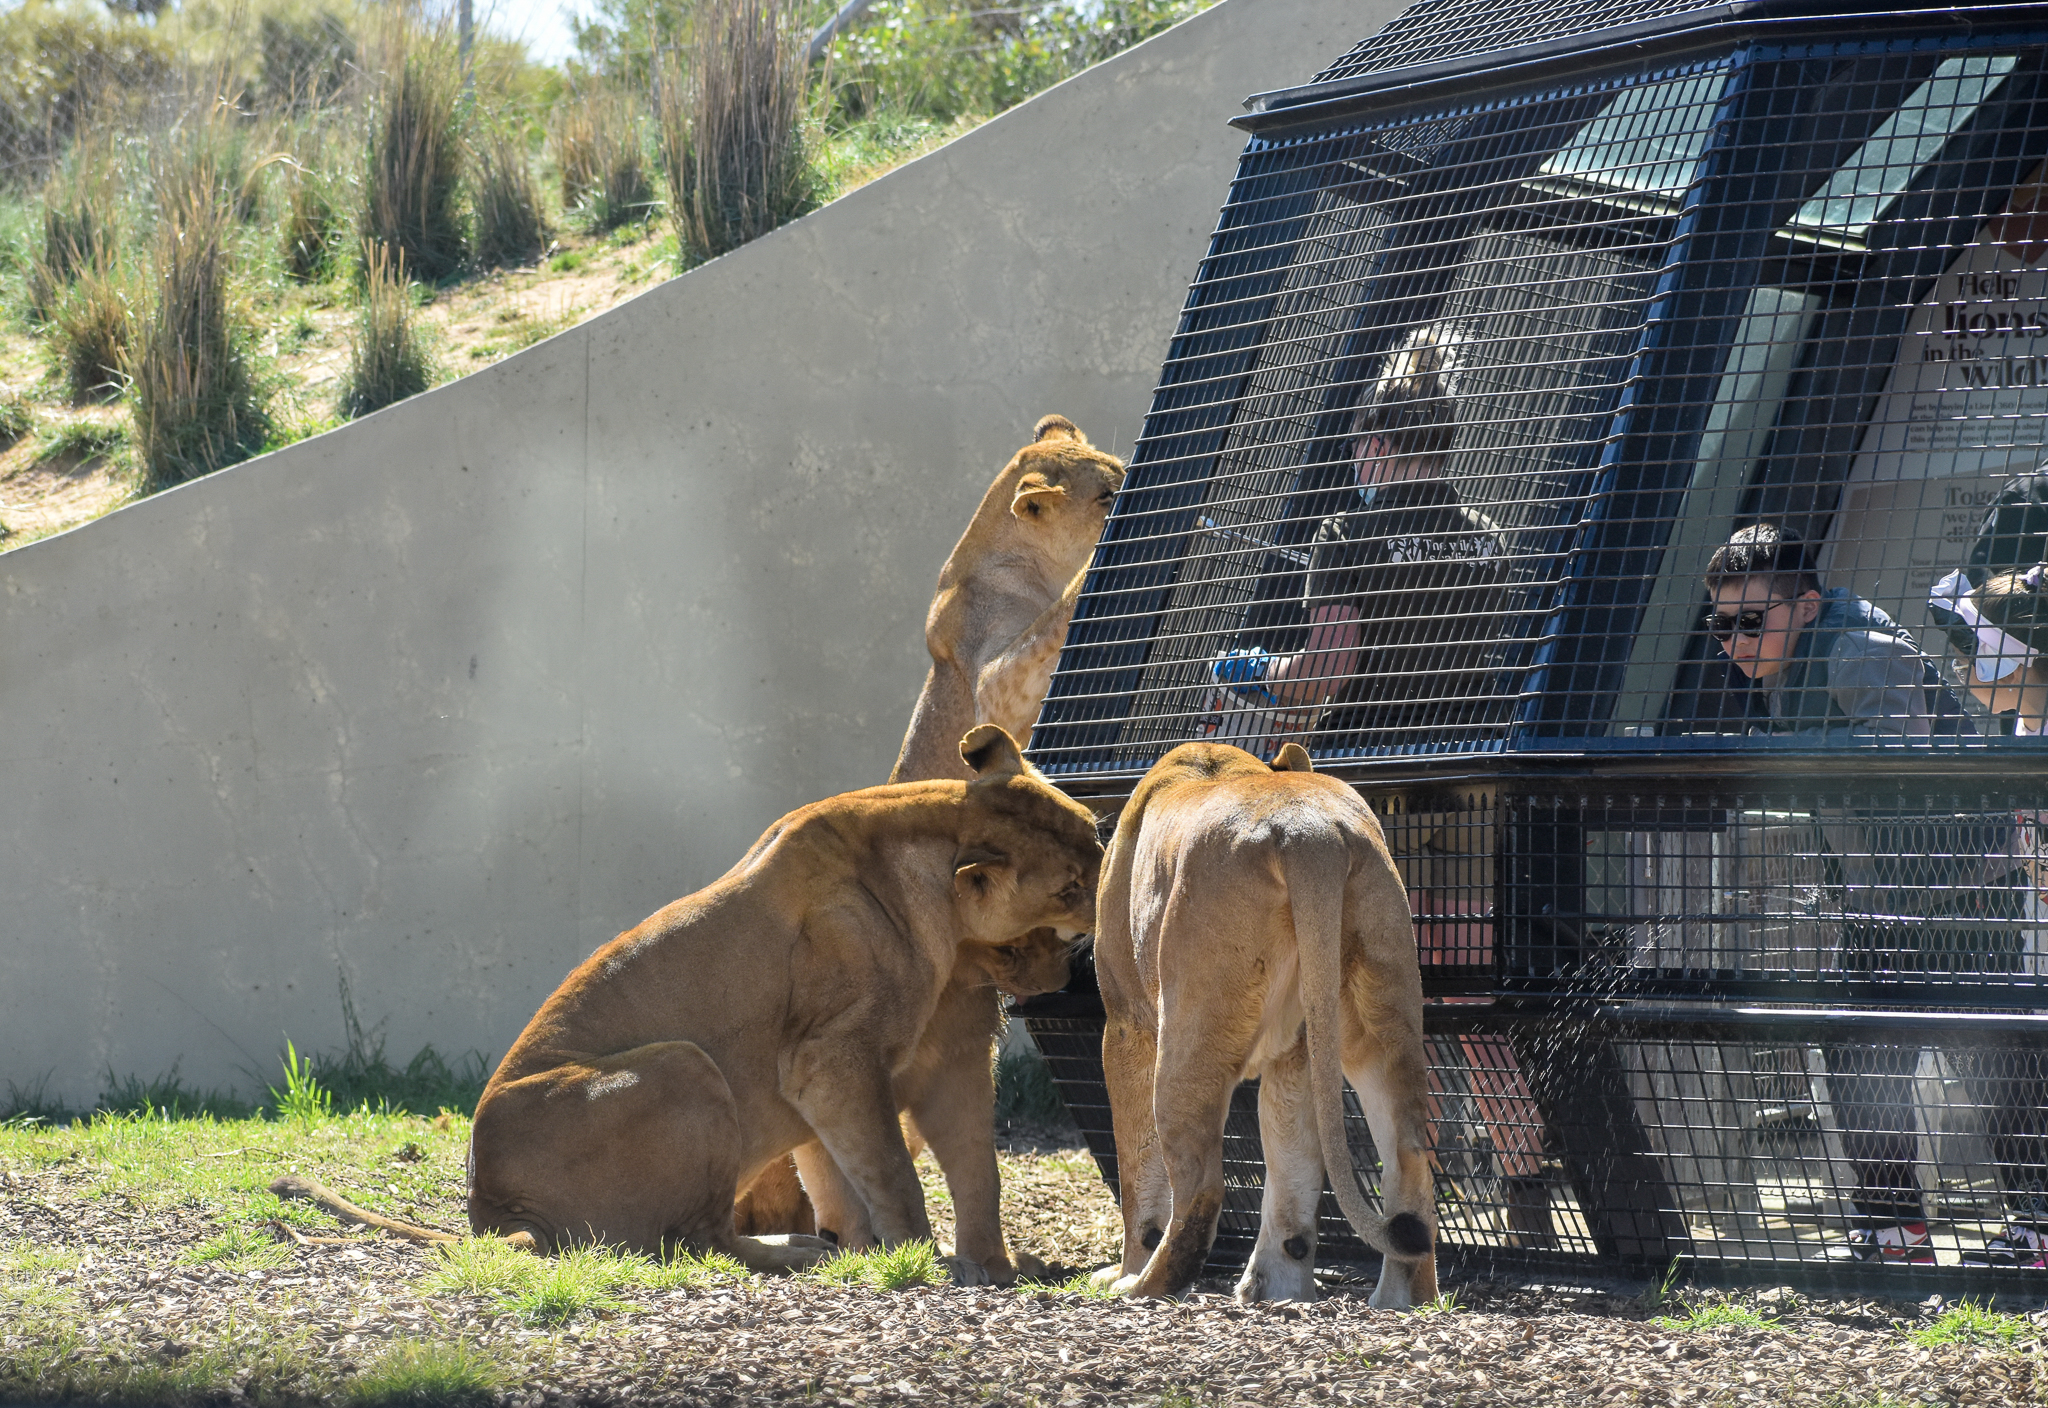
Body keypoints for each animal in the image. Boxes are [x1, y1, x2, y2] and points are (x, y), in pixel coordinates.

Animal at [453, 725, 1100, 1275]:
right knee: (702, 1242)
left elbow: (870, 1180)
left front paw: (881, 1255)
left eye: (1095, 835)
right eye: (1068, 887)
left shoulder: (833, 1083)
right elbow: (894, 1174)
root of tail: (493, 1210)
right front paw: (920, 1260)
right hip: (684, 1063)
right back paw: (799, 1251)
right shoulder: (834, 1060)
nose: (1113, 883)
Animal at [1090, 741, 1436, 1306]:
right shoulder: (1292, 1052)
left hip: (1188, 1030)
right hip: (1381, 1011)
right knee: (1407, 1161)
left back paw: (1142, 1286)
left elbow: (1137, 1168)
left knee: (1201, 1189)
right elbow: (1292, 1158)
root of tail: (1310, 834)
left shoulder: (1126, 1023)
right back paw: (1376, 1299)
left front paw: (1124, 1268)